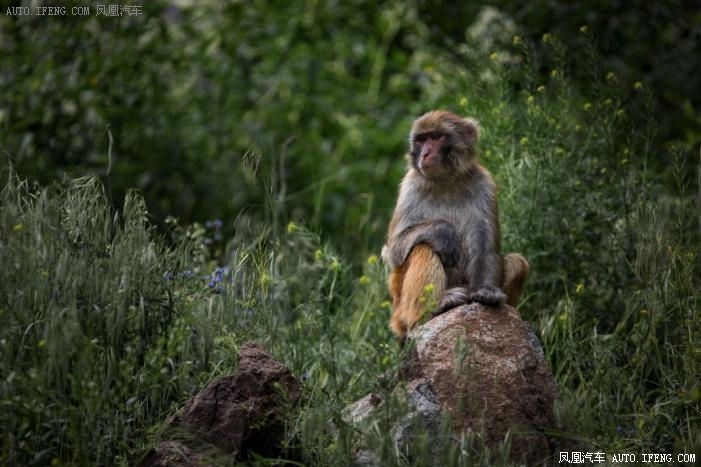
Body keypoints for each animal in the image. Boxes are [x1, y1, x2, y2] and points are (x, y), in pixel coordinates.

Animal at [386, 111, 528, 342]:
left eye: (436, 137)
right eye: (421, 140)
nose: (424, 153)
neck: (445, 181)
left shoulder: (484, 184)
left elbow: (485, 248)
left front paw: (486, 292)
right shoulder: (410, 186)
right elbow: (396, 249)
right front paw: (443, 231)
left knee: (517, 261)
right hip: (401, 307)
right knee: (423, 247)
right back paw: (436, 307)